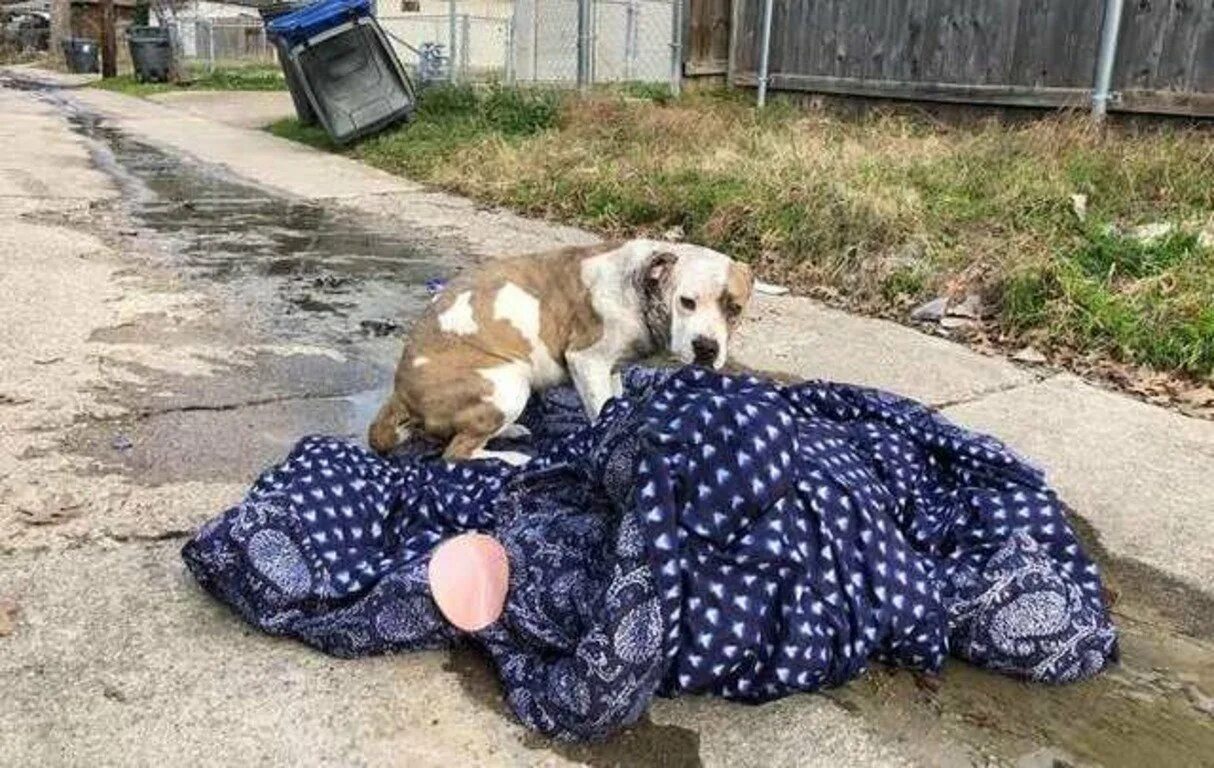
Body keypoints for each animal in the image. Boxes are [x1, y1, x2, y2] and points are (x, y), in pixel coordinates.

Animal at [364, 240, 752, 463]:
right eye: (687, 302)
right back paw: (511, 459)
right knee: (455, 454)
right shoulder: (588, 361)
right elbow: (601, 411)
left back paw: (510, 432)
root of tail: (400, 394)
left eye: (734, 308)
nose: (706, 347)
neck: (640, 286)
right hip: (507, 383)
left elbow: (616, 400)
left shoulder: (611, 368)